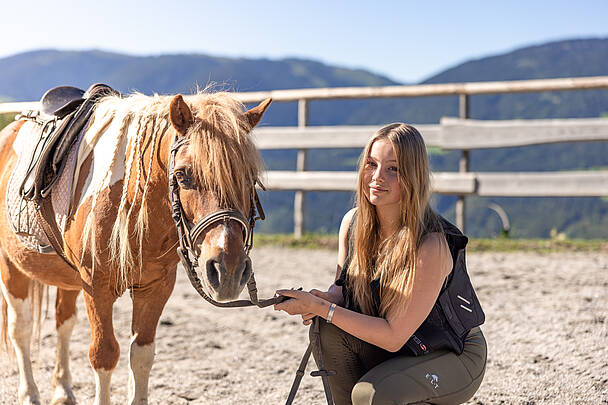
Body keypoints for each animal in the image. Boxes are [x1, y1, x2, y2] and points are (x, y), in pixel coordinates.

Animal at [0, 89, 270, 404]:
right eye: (182, 175)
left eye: (251, 178)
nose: (228, 270)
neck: (131, 201)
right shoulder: (97, 287)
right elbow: (103, 355)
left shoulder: (155, 287)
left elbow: (142, 355)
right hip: (11, 268)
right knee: (20, 329)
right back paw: (30, 393)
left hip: (67, 281)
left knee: (63, 323)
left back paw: (63, 389)